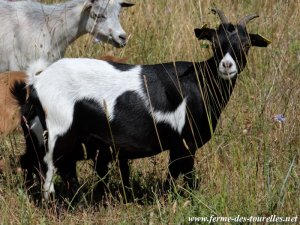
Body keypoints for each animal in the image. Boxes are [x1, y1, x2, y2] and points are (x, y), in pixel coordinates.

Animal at [15, 8, 270, 199]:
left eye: (246, 44)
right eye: (215, 43)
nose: (227, 66)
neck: (199, 81)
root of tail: (37, 82)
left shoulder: (176, 145)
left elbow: (171, 175)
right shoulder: (186, 142)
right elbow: (187, 176)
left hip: (40, 137)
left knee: (32, 163)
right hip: (58, 134)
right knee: (48, 171)